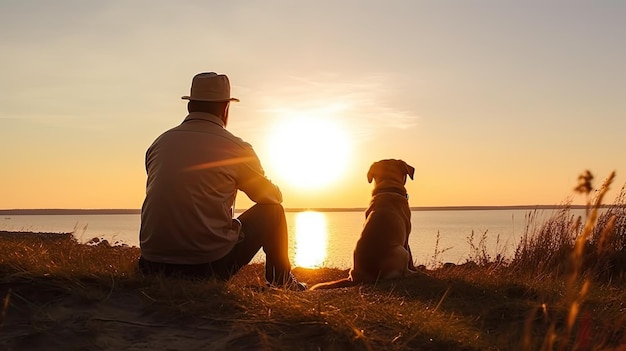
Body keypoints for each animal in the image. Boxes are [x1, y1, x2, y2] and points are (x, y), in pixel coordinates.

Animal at [310, 160, 416, 292]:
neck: (388, 188)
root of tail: (357, 278)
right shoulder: (407, 235)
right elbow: (410, 254)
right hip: (400, 250)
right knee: (402, 272)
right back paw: (413, 273)